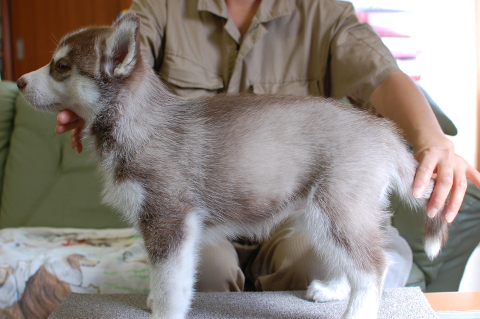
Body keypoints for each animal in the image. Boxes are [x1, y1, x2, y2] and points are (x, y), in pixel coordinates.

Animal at [16, 13, 448, 319]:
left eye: (61, 67)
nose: (18, 81)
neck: (139, 120)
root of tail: (382, 130)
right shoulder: (165, 226)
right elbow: (161, 279)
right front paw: (153, 300)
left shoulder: (170, 220)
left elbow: (171, 284)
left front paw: (163, 311)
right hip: (322, 214)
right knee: (358, 260)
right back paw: (333, 289)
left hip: (336, 207)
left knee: (374, 266)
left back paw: (355, 310)